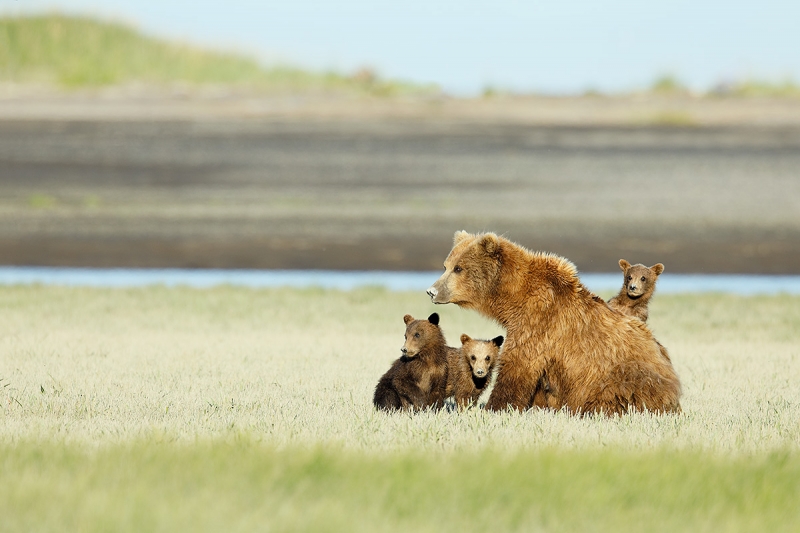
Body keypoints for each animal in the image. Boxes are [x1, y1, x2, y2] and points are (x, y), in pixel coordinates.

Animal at [424, 231, 680, 414]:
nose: (431, 291)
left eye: (459, 268)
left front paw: (495, 407)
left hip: (625, 376)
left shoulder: (539, 322)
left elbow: (518, 365)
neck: (515, 299)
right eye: (446, 266)